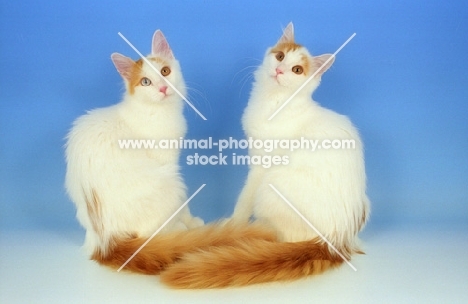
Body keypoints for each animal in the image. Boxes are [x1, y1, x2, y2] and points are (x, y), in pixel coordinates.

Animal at [64, 29, 276, 274]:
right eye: (146, 82)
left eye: (165, 71)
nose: (163, 88)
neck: (157, 110)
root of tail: (104, 242)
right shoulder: (169, 163)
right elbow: (183, 204)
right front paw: (191, 221)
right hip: (169, 181)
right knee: (150, 232)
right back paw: (180, 229)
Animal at [161, 23, 370, 288]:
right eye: (280, 56)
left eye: (297, 70)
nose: (280, 70)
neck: (273, 102)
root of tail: (334, 242)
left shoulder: (261, 167)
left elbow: (243, 200)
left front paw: (234, 225)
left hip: (273, 186)